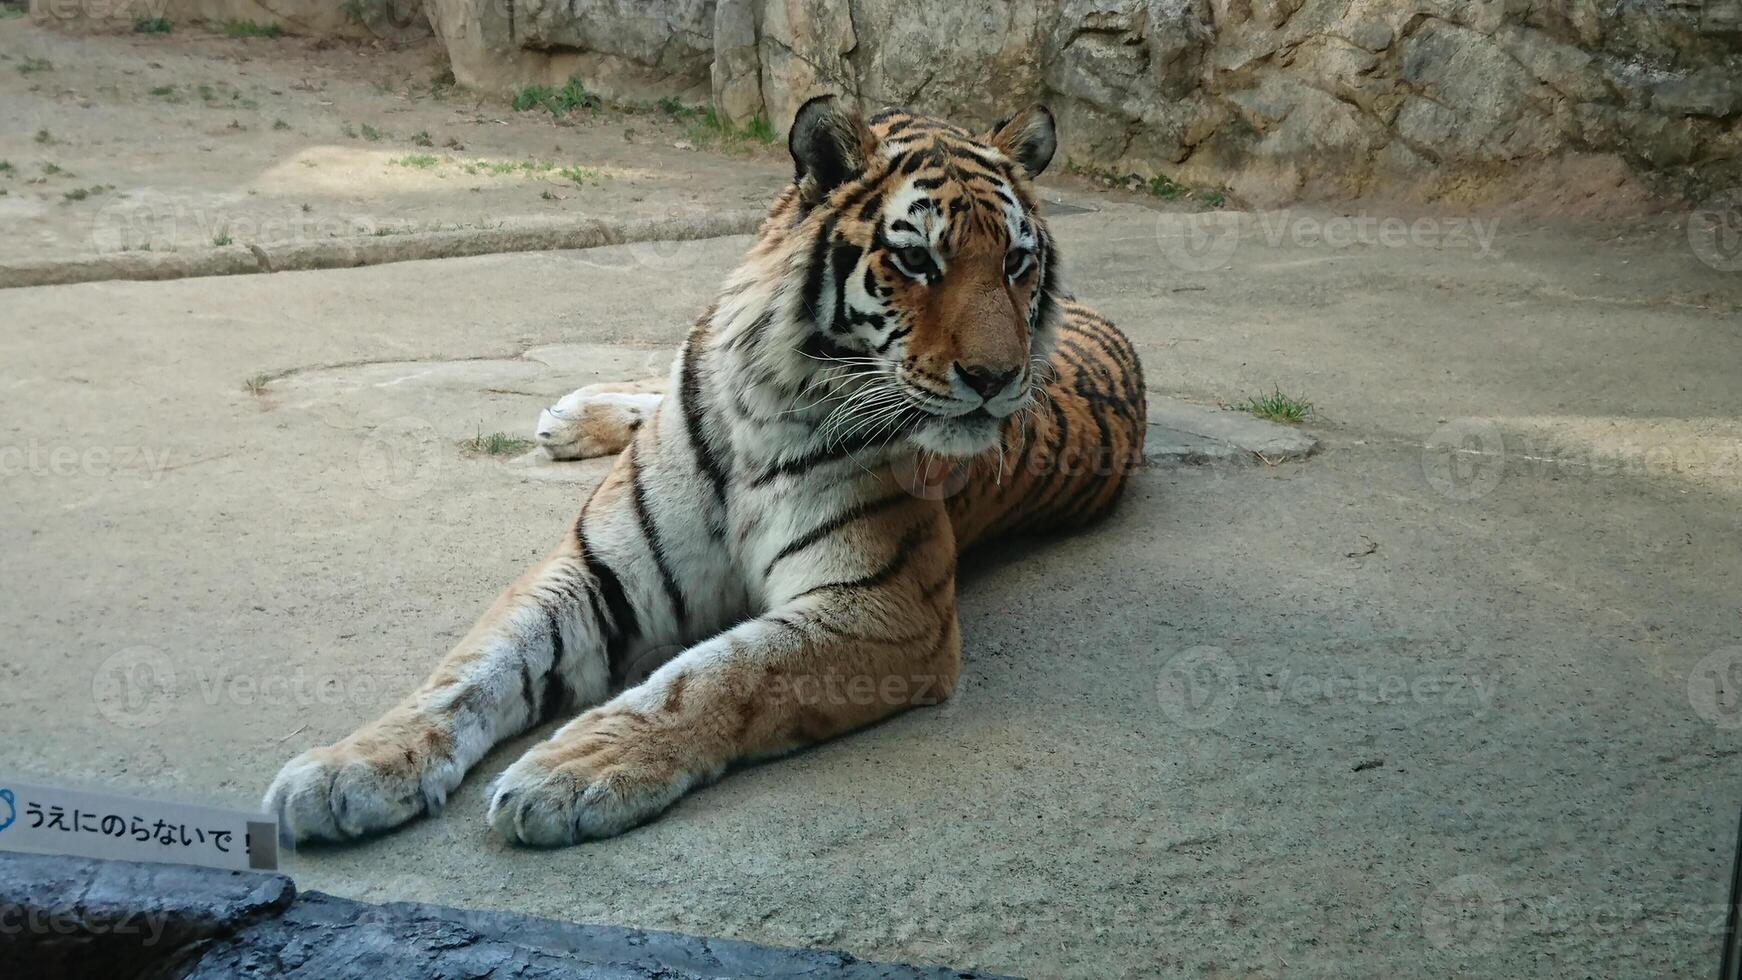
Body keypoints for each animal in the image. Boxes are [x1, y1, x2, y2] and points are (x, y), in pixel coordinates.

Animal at [264, 101, 1142, 852]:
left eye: (1018, 263)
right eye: (917, 259)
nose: (999, 379)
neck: (768, 402)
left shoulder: (886, 608)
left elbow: (721, 673)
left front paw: (573, 768)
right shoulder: (596, 573)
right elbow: (471, 670)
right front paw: (349, 767)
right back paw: (572, 415)